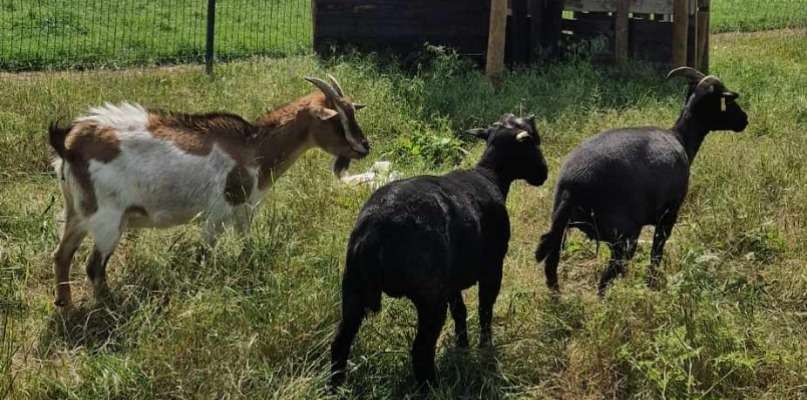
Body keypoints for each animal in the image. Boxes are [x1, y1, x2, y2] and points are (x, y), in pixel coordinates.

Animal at [47, 76, 370, 306]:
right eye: (337, 122)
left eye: (353, 112)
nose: (365, 147)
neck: (255, 148)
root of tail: (69, 145)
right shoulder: (219, 212)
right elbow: (205, 253)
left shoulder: (242, 212)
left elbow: (246, 245)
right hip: (108, 219)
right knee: (93, 266)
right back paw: (109, 307)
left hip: (77, 211)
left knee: (62, 254)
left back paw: (65, 305)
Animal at [328, 113, 548, 388]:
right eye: (533, 142)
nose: (544, 173)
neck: (490, 175)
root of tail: (376, 228)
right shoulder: (493, 267)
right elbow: (485, 309)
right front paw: (485, 349)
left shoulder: (451, 281)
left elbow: (461, 311)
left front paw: (463, 348)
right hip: (429, 295)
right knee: (421, 350)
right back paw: (432, 387)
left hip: (353, 286)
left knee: (340, 341)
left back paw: (335, 387)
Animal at [536, 67, 752, 296]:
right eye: (727, 100)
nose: (744, 119)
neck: (681, 138)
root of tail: (572, 185)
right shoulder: (669, 214)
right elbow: (657, 251)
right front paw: (652, 282)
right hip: (623, 235)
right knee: (607, 277)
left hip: (562, 228)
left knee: (552, 264)